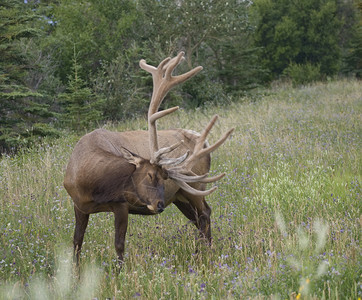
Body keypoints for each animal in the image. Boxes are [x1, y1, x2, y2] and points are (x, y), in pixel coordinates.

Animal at [63, 51, 233, 264]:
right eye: (151, 175)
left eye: (163, 178)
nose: (159, 205)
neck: (89, 183)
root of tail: (205, 142)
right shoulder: (79, 205)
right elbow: (77, 243)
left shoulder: (121, 205)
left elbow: (119, 247)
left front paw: (118, 272)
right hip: (180, 195)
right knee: (198, 218)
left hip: (195, 187)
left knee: (205, 214)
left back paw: (203, 254)